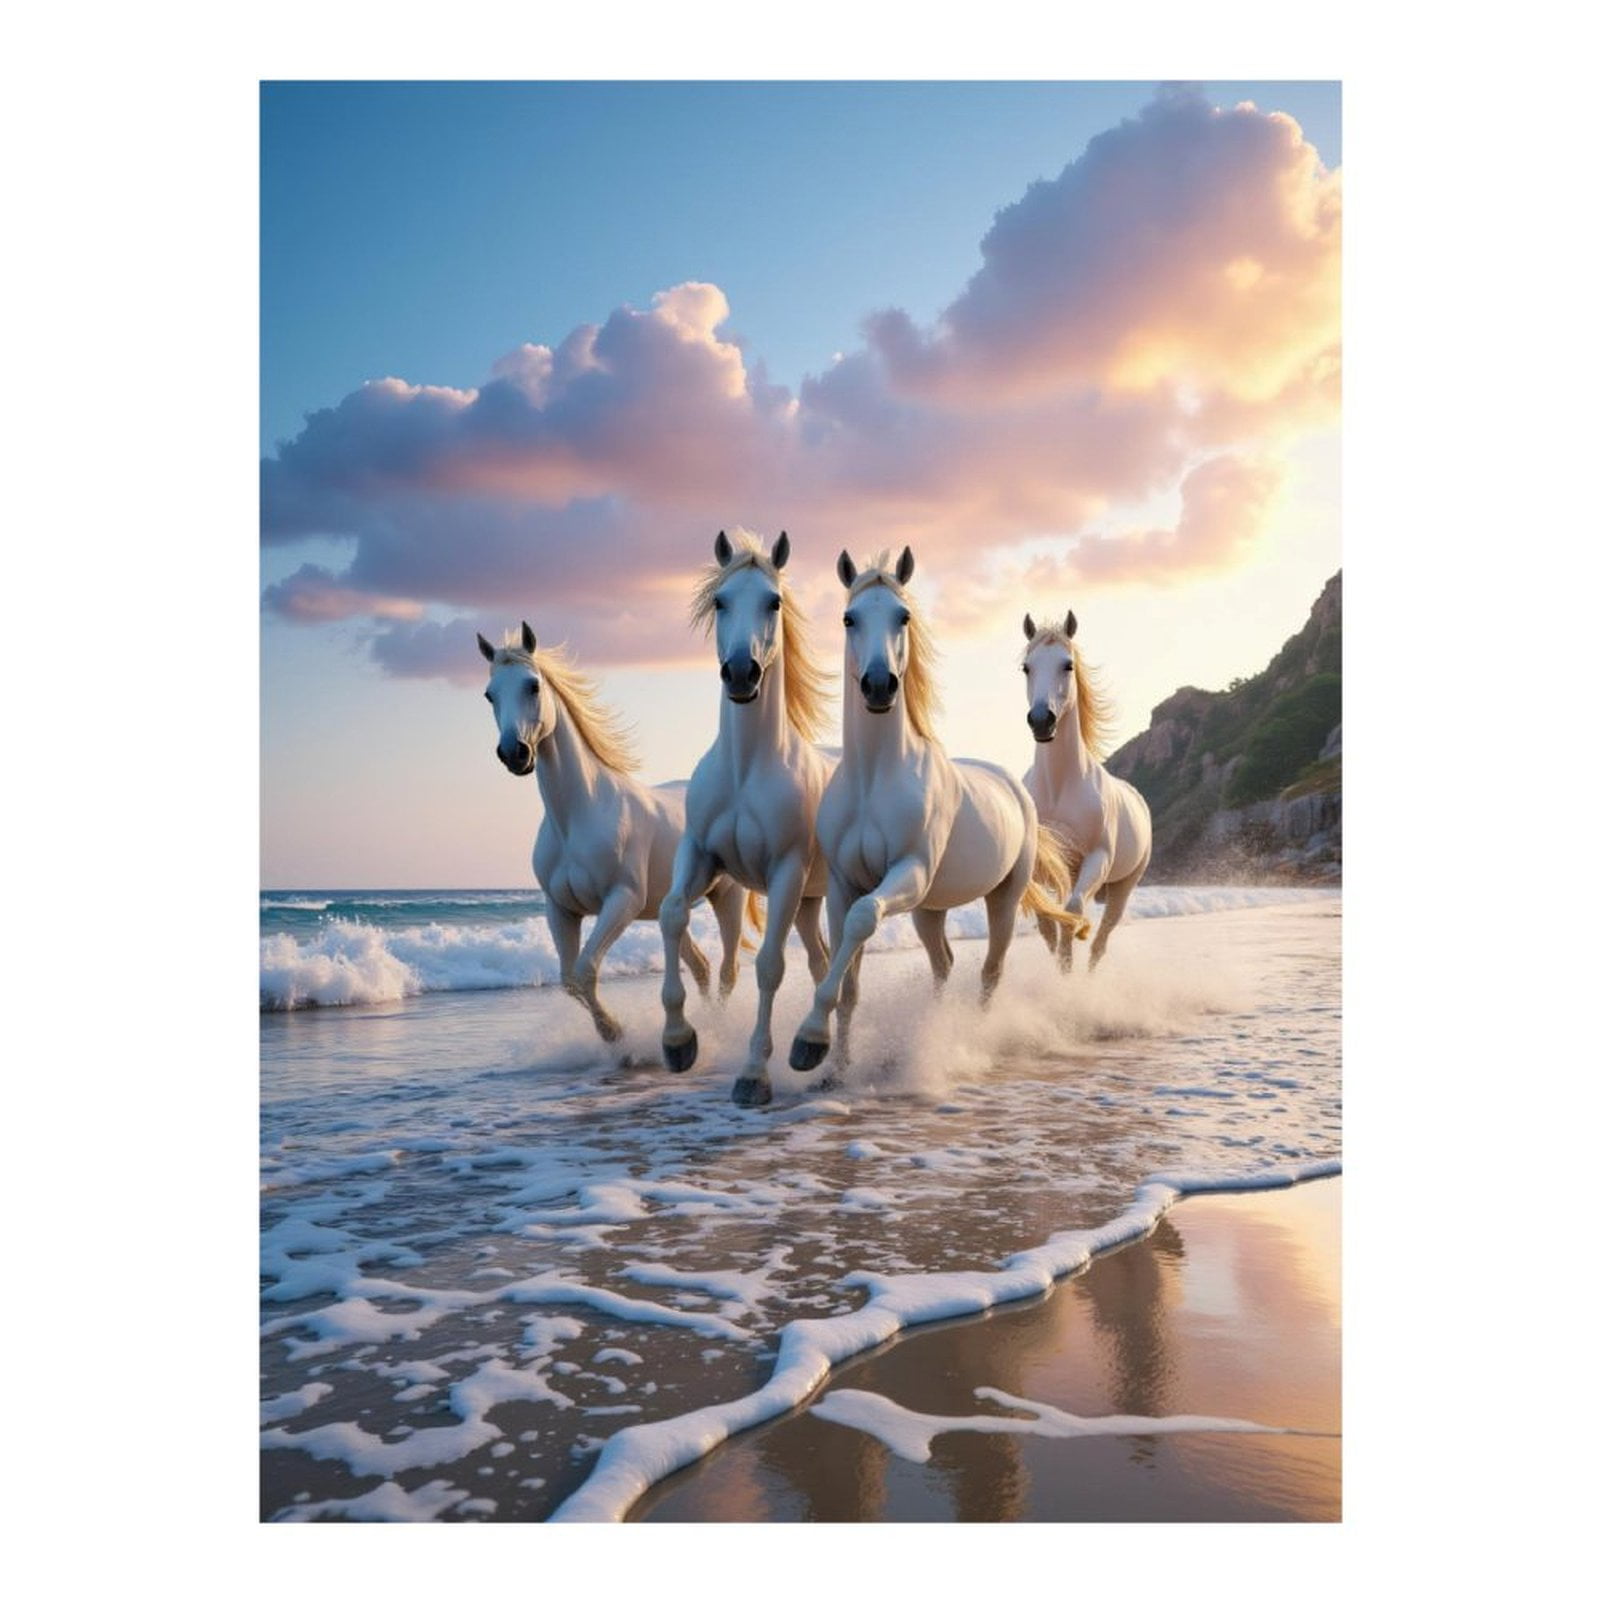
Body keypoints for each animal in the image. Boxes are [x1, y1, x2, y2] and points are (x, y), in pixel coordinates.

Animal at [478, 623, 750, 1047]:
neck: (579, 818)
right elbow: (569, 979)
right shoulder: (561, 910)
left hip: (727, 896)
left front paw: (616, 1035)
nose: (514, 753)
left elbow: (586, 970)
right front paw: (614, 1038)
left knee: (727, 969)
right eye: (490, 694)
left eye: (533, 685)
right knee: (702, 966)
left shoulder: (622, 900)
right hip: (670, 908)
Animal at [658, 529, 836, 1107]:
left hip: (811, 894)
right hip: (808, 903)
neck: (745, 769)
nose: (741, 673)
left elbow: (769, 966)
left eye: (773, 602)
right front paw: (678, 1042)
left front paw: (754, 1075)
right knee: (824, 962)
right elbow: (671, 914)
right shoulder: (700, 856)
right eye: (720, 601)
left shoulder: (784, 873)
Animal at [788, 548, 1081, 1077]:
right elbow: (849, 979)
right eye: (848, 618)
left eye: (902, 616)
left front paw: (808, 1039)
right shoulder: (844, 884)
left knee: (991, 969)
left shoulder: (906, 873)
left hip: (1002, 898)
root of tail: (1015, 788)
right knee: (943, 963)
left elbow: (863, 921)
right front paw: (833, 1066)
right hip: (930, 909)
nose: (879, 686)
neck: (874, 778)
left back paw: (976, 1039)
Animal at [1020, 611, 1152, 971]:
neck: (1059, 786)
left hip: (1123, 887)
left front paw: (1066, 970)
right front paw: (1058, 964)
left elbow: (1073, 911)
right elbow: (1047, 920)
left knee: (1101, 940)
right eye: (1026, 667)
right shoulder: (1041, 864)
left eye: (1067, 665)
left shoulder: (1097, 858)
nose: (1042, 720)